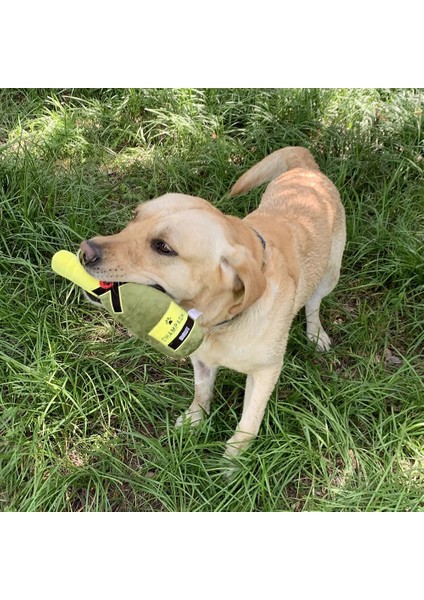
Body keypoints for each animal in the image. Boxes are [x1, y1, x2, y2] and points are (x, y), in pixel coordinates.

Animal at [79, 149, 344, 460]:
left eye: (163, 247)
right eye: (135, 216)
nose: (84, 252)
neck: (218, 322)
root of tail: (307, 169)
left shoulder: (265, 373)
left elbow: (248, 423)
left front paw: (233, 461)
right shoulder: (201, 359)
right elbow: (202, 391)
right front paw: (194, 420)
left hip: (329, 275)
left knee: (314, 304)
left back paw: (316, 334)